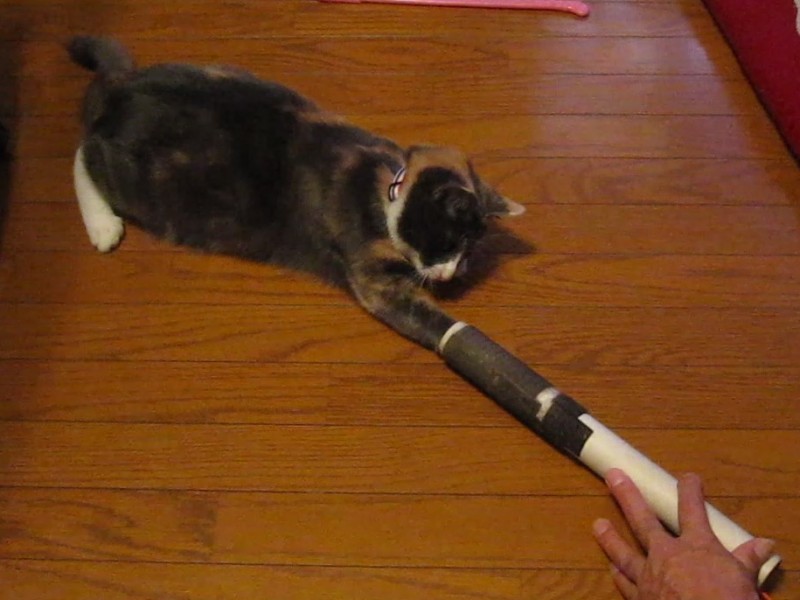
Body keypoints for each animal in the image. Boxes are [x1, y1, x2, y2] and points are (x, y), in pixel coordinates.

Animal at [67, 36, 524, 351]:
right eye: (447, 243)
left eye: (467, 255)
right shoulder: (374, 279)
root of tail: (121, 88)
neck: (386, 190)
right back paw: (103, 227)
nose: (449, 274)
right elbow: (427, 318)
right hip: (138, 183)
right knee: (83, 153)